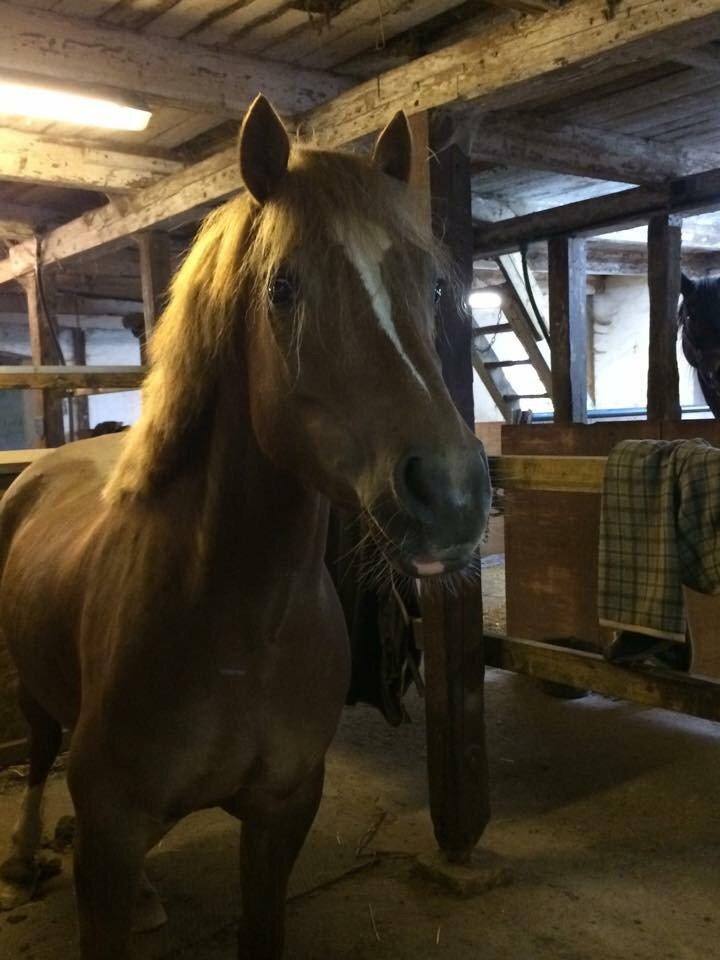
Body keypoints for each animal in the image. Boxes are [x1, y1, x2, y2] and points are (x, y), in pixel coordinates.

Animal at [0, 97, 492, 960]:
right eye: (282, 287)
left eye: (434, 285)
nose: (453, 492)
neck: (238, 628)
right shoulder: (109, 833)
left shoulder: (282, 812)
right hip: (33, 688)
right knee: (38, 749)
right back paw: (26, 856)